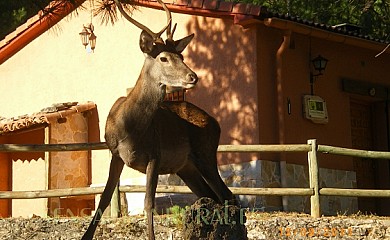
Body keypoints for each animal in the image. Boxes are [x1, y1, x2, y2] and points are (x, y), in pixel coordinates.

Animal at [80, 0, 236, 239]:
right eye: (163, 58)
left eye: (181, 57)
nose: (193, 77)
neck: (129, 129)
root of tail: (215, 122)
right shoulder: (115, 154)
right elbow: (104, 199)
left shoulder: (155, 154)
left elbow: (148, 203)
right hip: (186, 166)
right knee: (210, 195)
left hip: (206, 153)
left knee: (228, 195)